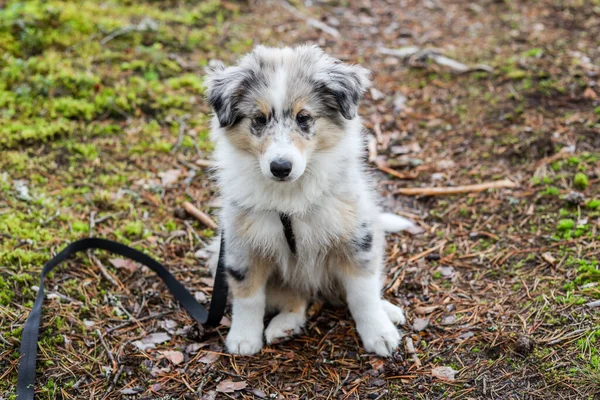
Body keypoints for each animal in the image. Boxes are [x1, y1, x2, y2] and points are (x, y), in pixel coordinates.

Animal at [204, 44, 414, 356]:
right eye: (259, 119)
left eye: (303, 118)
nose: (280, 167)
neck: (290, 198)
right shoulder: (241, 245)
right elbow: (248, 296)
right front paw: (243, 337)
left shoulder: (356, 236)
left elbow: (362, 292)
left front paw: (378, 333)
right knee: (296, 298)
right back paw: (284, 325)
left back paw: (387, 310)